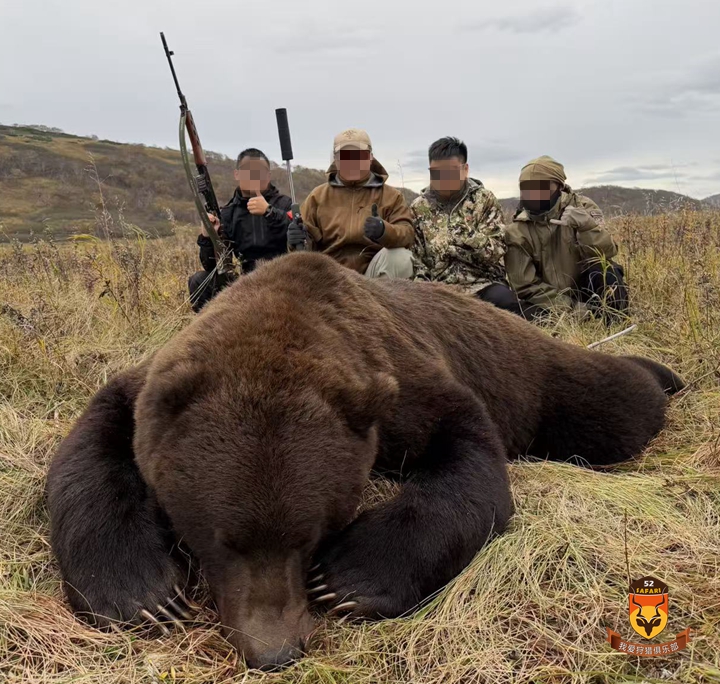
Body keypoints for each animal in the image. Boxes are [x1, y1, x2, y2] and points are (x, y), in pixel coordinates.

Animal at [46, 251, 684, 671]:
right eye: (222, 539)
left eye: (309, 537)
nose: (274, 652)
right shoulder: (151, 389)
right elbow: (89, 451)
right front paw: (145, 594)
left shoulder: (403, 388)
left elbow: (470, 463)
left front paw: (348, 579)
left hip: (538, 379)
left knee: (612, 403)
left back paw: (662, 373)